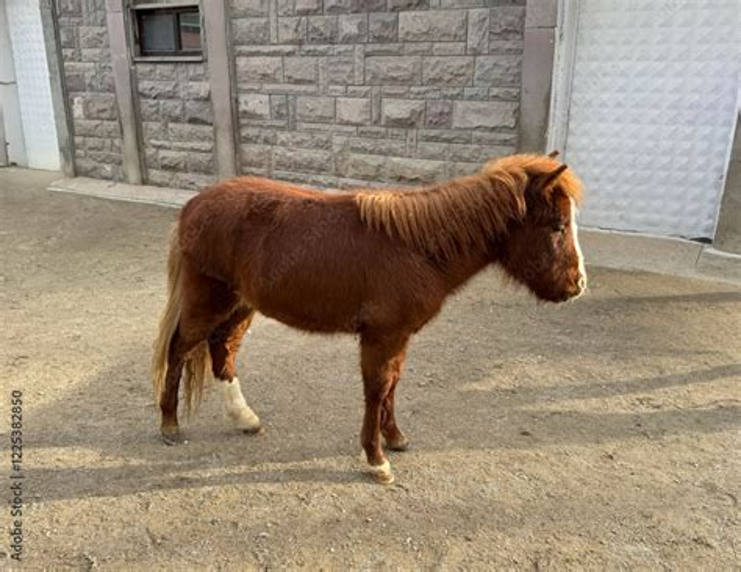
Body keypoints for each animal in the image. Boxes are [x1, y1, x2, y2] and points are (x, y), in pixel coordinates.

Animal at [151, 152, 586, 485]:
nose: (577, 285)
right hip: (207, 301)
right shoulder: (381, 336)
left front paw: (395, 438)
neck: (418, 248)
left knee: (222, 348)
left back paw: (245, 418)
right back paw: (169, 424)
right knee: (179, 349)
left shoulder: (399, 337)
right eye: (557, 225)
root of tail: (194, 206)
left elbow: (392, 384)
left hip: (240, 304)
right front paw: (377, 460)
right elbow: (376, 390)